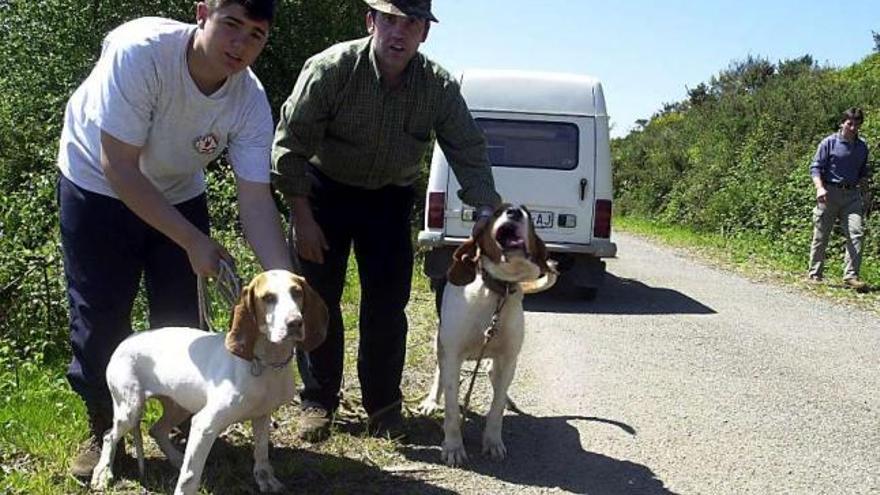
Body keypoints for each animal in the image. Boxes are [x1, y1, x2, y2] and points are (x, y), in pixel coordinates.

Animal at [89, 272, 326, 495]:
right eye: (268, 298)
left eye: (297, 292)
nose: (295, 323)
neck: (265, 363)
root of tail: (125, 341)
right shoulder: (204, 425)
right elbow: (189, 477)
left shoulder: (261, 415)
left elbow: (261, 455)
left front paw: (265, 480)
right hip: (130, 409)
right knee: (109, 436)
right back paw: (102, 474)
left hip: (179, 406)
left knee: (156, 430)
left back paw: (176, 458)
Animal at [420, 203, 556, 466]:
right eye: (497, 212)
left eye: (528, 213)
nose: (515, 212)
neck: (496, 292)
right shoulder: (452, 356)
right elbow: (452, 410)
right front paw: (453, 447)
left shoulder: (508, 359)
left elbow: (496, 408)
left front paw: (493, 443)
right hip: (439, 345)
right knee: (440, 373)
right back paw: (431, 401)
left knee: (494, 378)